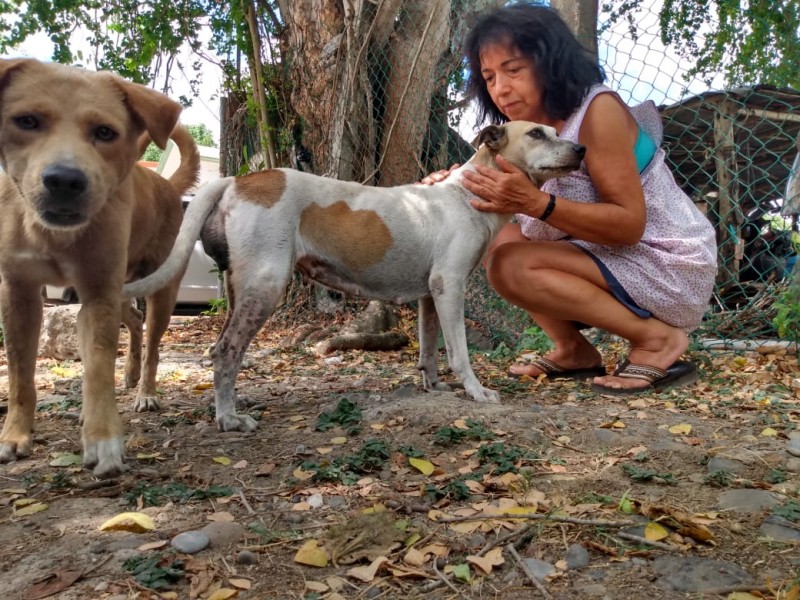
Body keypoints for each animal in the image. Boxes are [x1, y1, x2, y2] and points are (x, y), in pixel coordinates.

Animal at [0, 59, 200, 478]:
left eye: (105, 132)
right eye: (26, 121)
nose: (64, 180)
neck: (54, 236)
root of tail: (165, 183)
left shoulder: (97, 292)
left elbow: (97, 367)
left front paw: (102, 439)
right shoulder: (19, 292)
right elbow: (20, 373)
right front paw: (15, 435)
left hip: (159, 290)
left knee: (152, 342)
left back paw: (144, 391)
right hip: (121, 290)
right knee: (135, 323)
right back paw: (129, 374)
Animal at [125, 120, 584, 432]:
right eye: (537, 133)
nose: (581, 148)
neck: (467, 193)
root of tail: (240, 179)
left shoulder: (430, 295)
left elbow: (429, 350)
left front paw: (433, 387)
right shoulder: (449, 286)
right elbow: (459, 353)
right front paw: (476, 392)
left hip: (243, 288)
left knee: (224, 349)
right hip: (266, 286)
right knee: (225, 351)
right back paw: (229, 419)